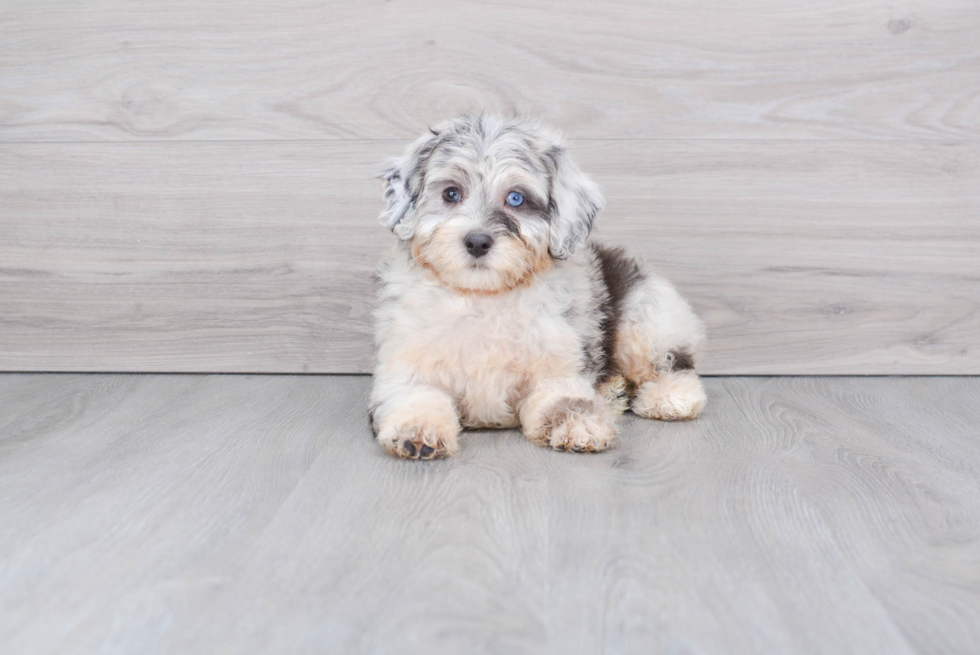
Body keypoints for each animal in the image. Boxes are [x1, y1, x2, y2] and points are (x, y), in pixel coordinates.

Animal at [368, 114, 704, 462]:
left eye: (516, 198)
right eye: (451, 193)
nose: (477, 242)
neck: (483, 296)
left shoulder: (559, 368)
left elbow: (566, 401)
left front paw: (581, 426)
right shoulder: (405, 367)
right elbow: (415, 397)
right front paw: (418, 432)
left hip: (645, 321)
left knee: (673, 364)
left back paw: (670, 398)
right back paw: (613, 392)